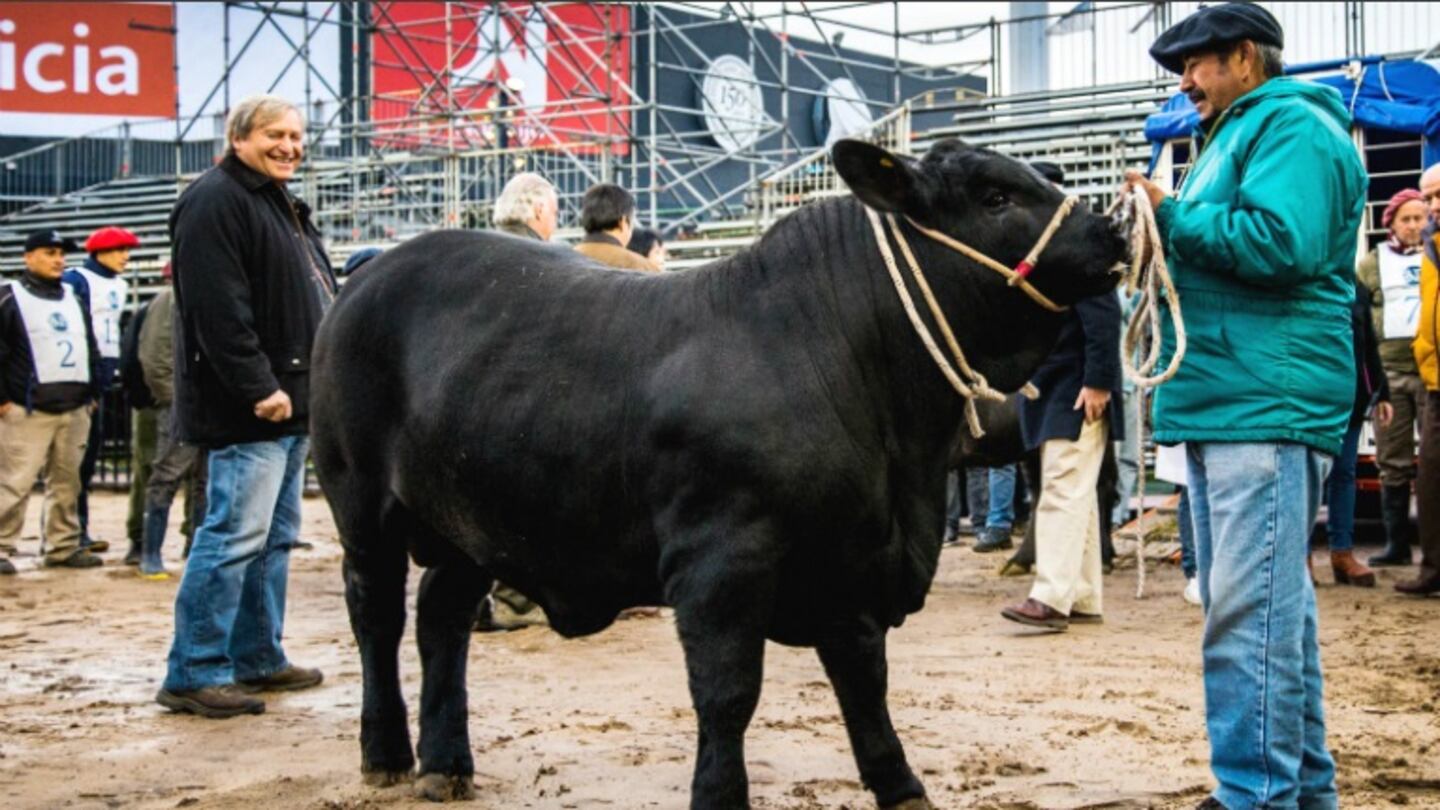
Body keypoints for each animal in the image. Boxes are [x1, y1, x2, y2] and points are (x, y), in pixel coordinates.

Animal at [312, 140, 1123, 807]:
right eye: (995, 196)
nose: (1112, 228)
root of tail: (374, 271)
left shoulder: (851, 556)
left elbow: (864, 682)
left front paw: (901, 787)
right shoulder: (721, 561)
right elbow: (728, 694)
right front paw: (720, 795)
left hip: (470, 517)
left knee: (441, 616)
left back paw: (447, 761)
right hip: (361, 501)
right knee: (377, 616)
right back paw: (387, 753)